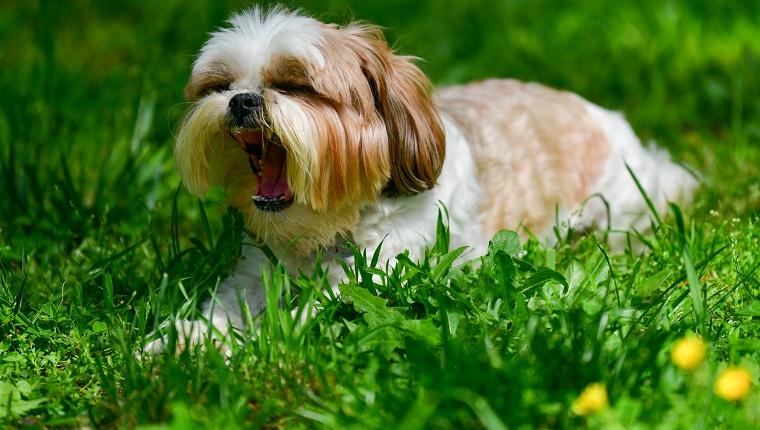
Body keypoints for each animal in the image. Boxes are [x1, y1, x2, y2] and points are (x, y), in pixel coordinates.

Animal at [142, 6, 696, 352]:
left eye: (296, 86)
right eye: (220, 85)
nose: (241, 101)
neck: (329, 228)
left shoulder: (376, 275)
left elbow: (298, 322)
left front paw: (244, 347)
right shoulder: (255, 275)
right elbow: (226, 310)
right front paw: (181, 340)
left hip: (620, 203)